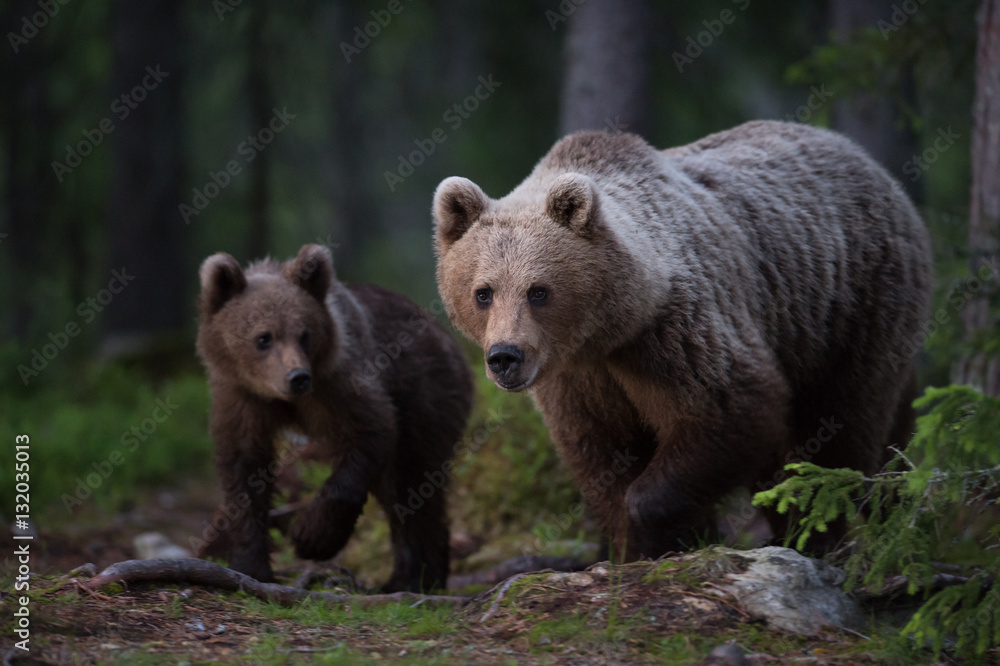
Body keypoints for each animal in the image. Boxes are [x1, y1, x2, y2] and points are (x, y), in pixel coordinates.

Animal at [196, 244, 473, 591]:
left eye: (304, 334)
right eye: (263, 337)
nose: (297, 377)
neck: (282, 400)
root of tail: (446, 336)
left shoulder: (339, 380)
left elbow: (370, 432)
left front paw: (311, 537)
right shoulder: (241, 397)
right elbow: (243, 465)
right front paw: (249, 565)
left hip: (426, 394)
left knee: (412, 481)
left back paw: (415, 579)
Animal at [432, 120, 932, 560]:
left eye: (538, 290)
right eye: (483, 292)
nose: (505, 357)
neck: (607, 332)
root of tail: (866, 160)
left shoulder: (674, 334)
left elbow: (730, 405)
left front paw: (655, 534)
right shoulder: (578, 379)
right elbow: (600, 453)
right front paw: (631, 544)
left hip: (851, 307)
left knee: (839, 427)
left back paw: (818, 533)